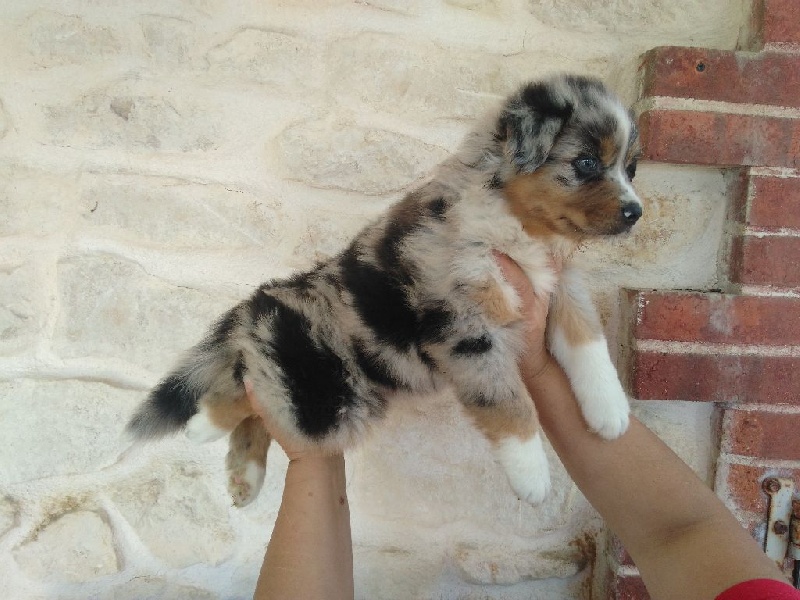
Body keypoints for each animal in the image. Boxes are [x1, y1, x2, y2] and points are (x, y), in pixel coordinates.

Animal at [126, 74, 642, 507]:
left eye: (631, 169)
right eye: (586, 162)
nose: (636, 212)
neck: (521, 228)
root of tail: (266, 300)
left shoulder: (558, 284)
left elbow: (587, 339)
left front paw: (610, 411)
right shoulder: (463, 324)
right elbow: (507, 401)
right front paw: (531, 474)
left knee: (262, 401)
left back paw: (243, 476)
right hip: (325, 390)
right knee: (246, 381)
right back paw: (204, 424)